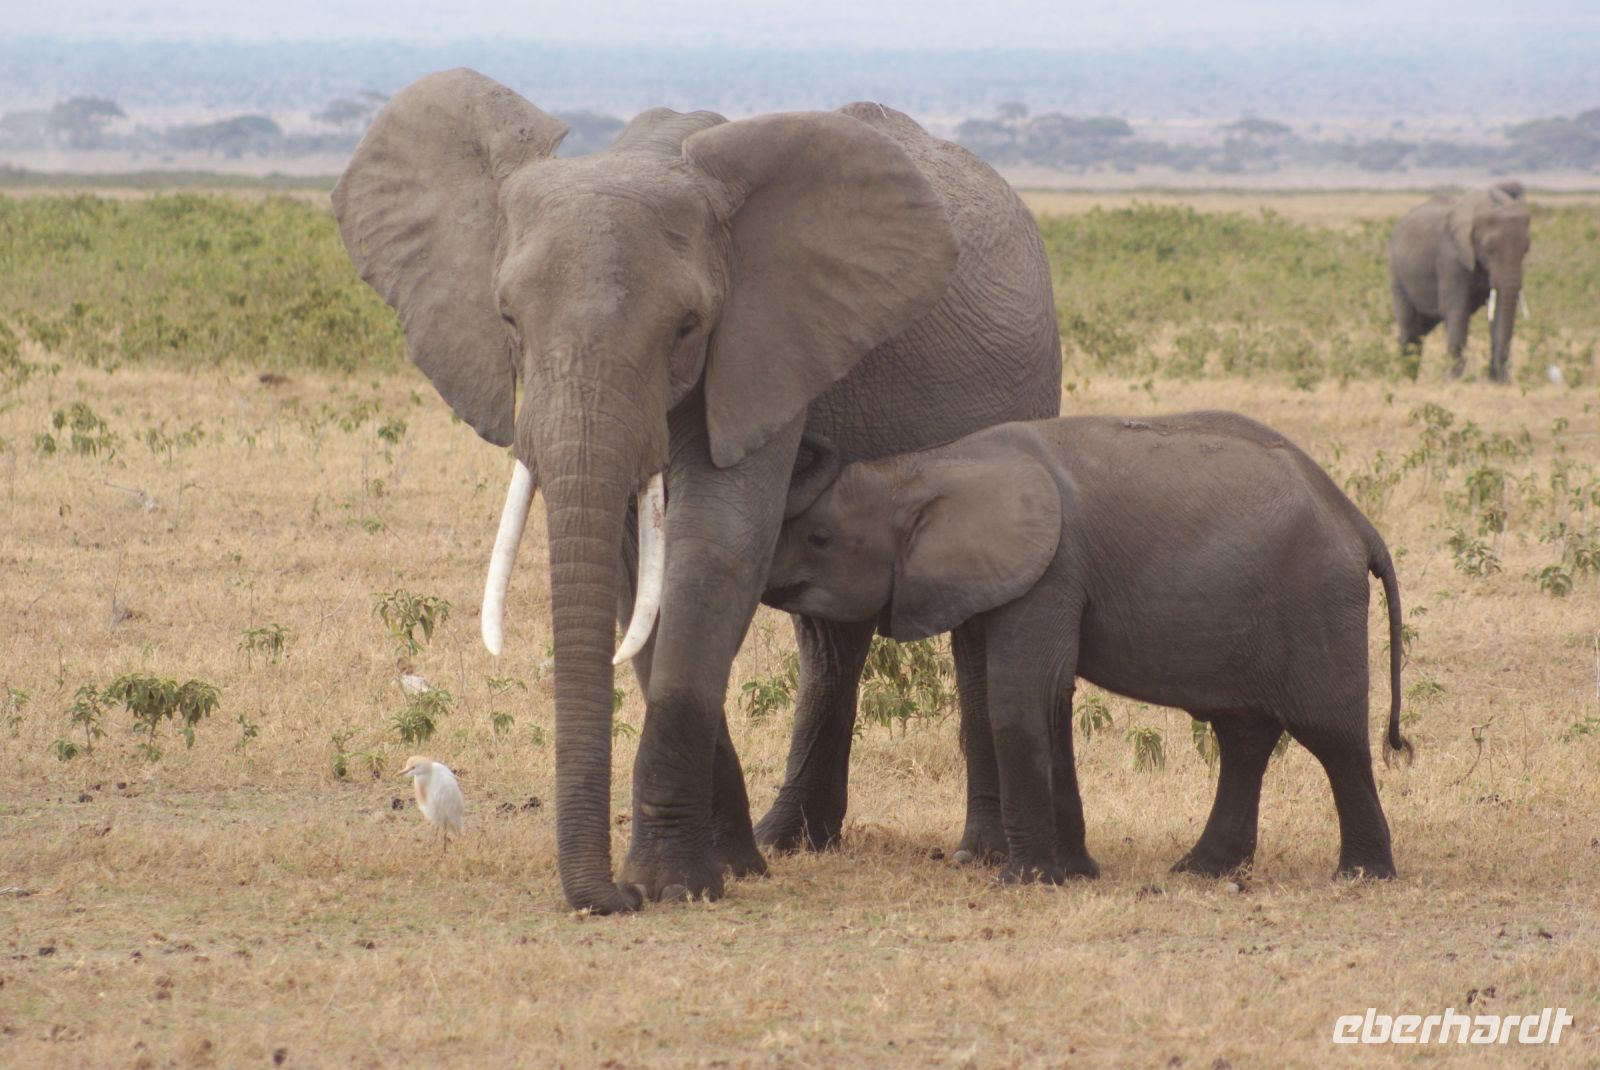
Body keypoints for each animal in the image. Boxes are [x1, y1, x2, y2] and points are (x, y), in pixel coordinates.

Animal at [332, 69, 1062, 912]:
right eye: (507, 318)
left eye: (686, 326)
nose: (607, 899)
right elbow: (634, 580)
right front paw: (730, 864)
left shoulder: (767, 344)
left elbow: (714, 547)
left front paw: (672, 885)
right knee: (828, 639)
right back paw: (790, 840)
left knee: (973, 618)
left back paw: (980, 852)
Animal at [764, 412, 1411, 884]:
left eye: (819, 539)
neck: (926, 467)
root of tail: (1360, 525)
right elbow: (1051, 701)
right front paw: (1074, 874)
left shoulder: (1051, 570)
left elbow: (1021, 697)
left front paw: (1025, 880)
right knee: (1244, 739)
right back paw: (1201, 870)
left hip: (1315, 601)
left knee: (1332, 736)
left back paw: (1361, 876)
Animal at [1388, 181, 1531, 382]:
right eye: (1489, 249)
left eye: (1526, 249)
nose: (1500, 373)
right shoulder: (1451, 259)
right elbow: (1458, 311)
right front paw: (1452, 381)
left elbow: (1499, 309)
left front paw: (1499, 382)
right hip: (1397, 272)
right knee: (1409, 325)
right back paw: (1405, 378)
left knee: (1420, 329)